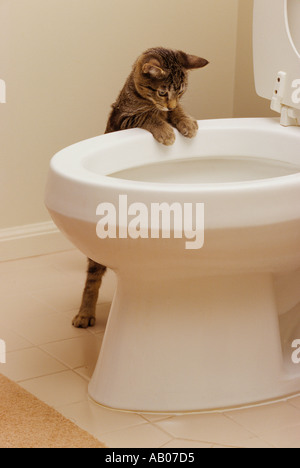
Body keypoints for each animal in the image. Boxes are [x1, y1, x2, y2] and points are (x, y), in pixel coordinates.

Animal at [72, 45, 209, 328]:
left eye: (180, 91)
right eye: (162, 91)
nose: (170, 102)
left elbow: (176, 113)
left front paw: (186, 121)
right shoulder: (125, 118)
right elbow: (148, 116)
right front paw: (165, 129)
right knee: (92, 278)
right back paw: (85, 313)